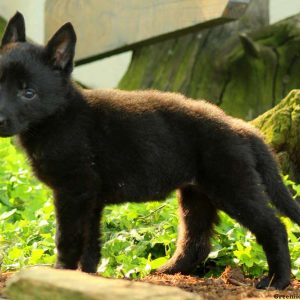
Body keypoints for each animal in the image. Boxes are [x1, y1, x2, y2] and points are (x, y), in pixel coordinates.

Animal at [0, 12, 300, 290]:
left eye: (28, 93)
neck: (58, 117)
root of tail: (242, 127)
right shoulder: (91, 198)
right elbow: (90, 243)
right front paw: (86, 277)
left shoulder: (73, 191)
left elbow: (67, 237)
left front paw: (59, 273)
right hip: (197, 194)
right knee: (197, 241)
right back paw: (168, 271)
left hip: (233, 187)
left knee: (274, 226)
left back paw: (278, 280)